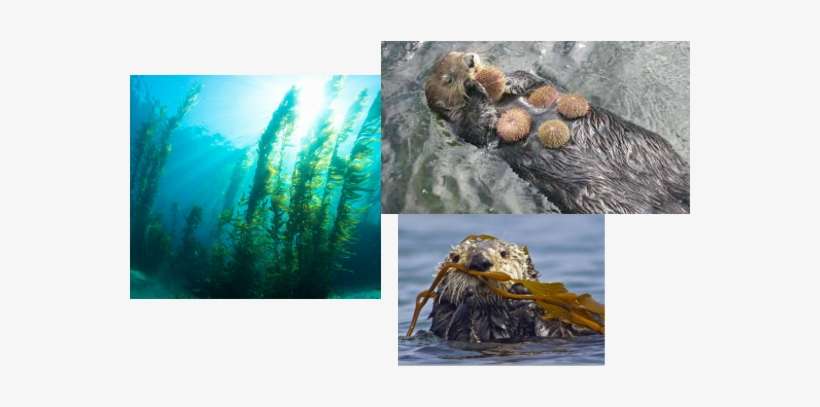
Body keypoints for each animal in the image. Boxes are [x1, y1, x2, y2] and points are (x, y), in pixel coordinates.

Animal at [424, 51, 690, 214]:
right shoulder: (466, 128)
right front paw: (473, 88)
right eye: (448, 78)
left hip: (654, 150)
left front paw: (508, 80)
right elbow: (480, 124)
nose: (470, 60)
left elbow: (533, 79)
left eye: (460, 53)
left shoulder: (535, 84)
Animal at [428, 235, 600, 342]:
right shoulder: (443, 326)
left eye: (504, 253)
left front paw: (521, 294)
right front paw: (469, 295)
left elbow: (555, 330)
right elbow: (457, 332)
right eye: (455, 258)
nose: (480, 262)